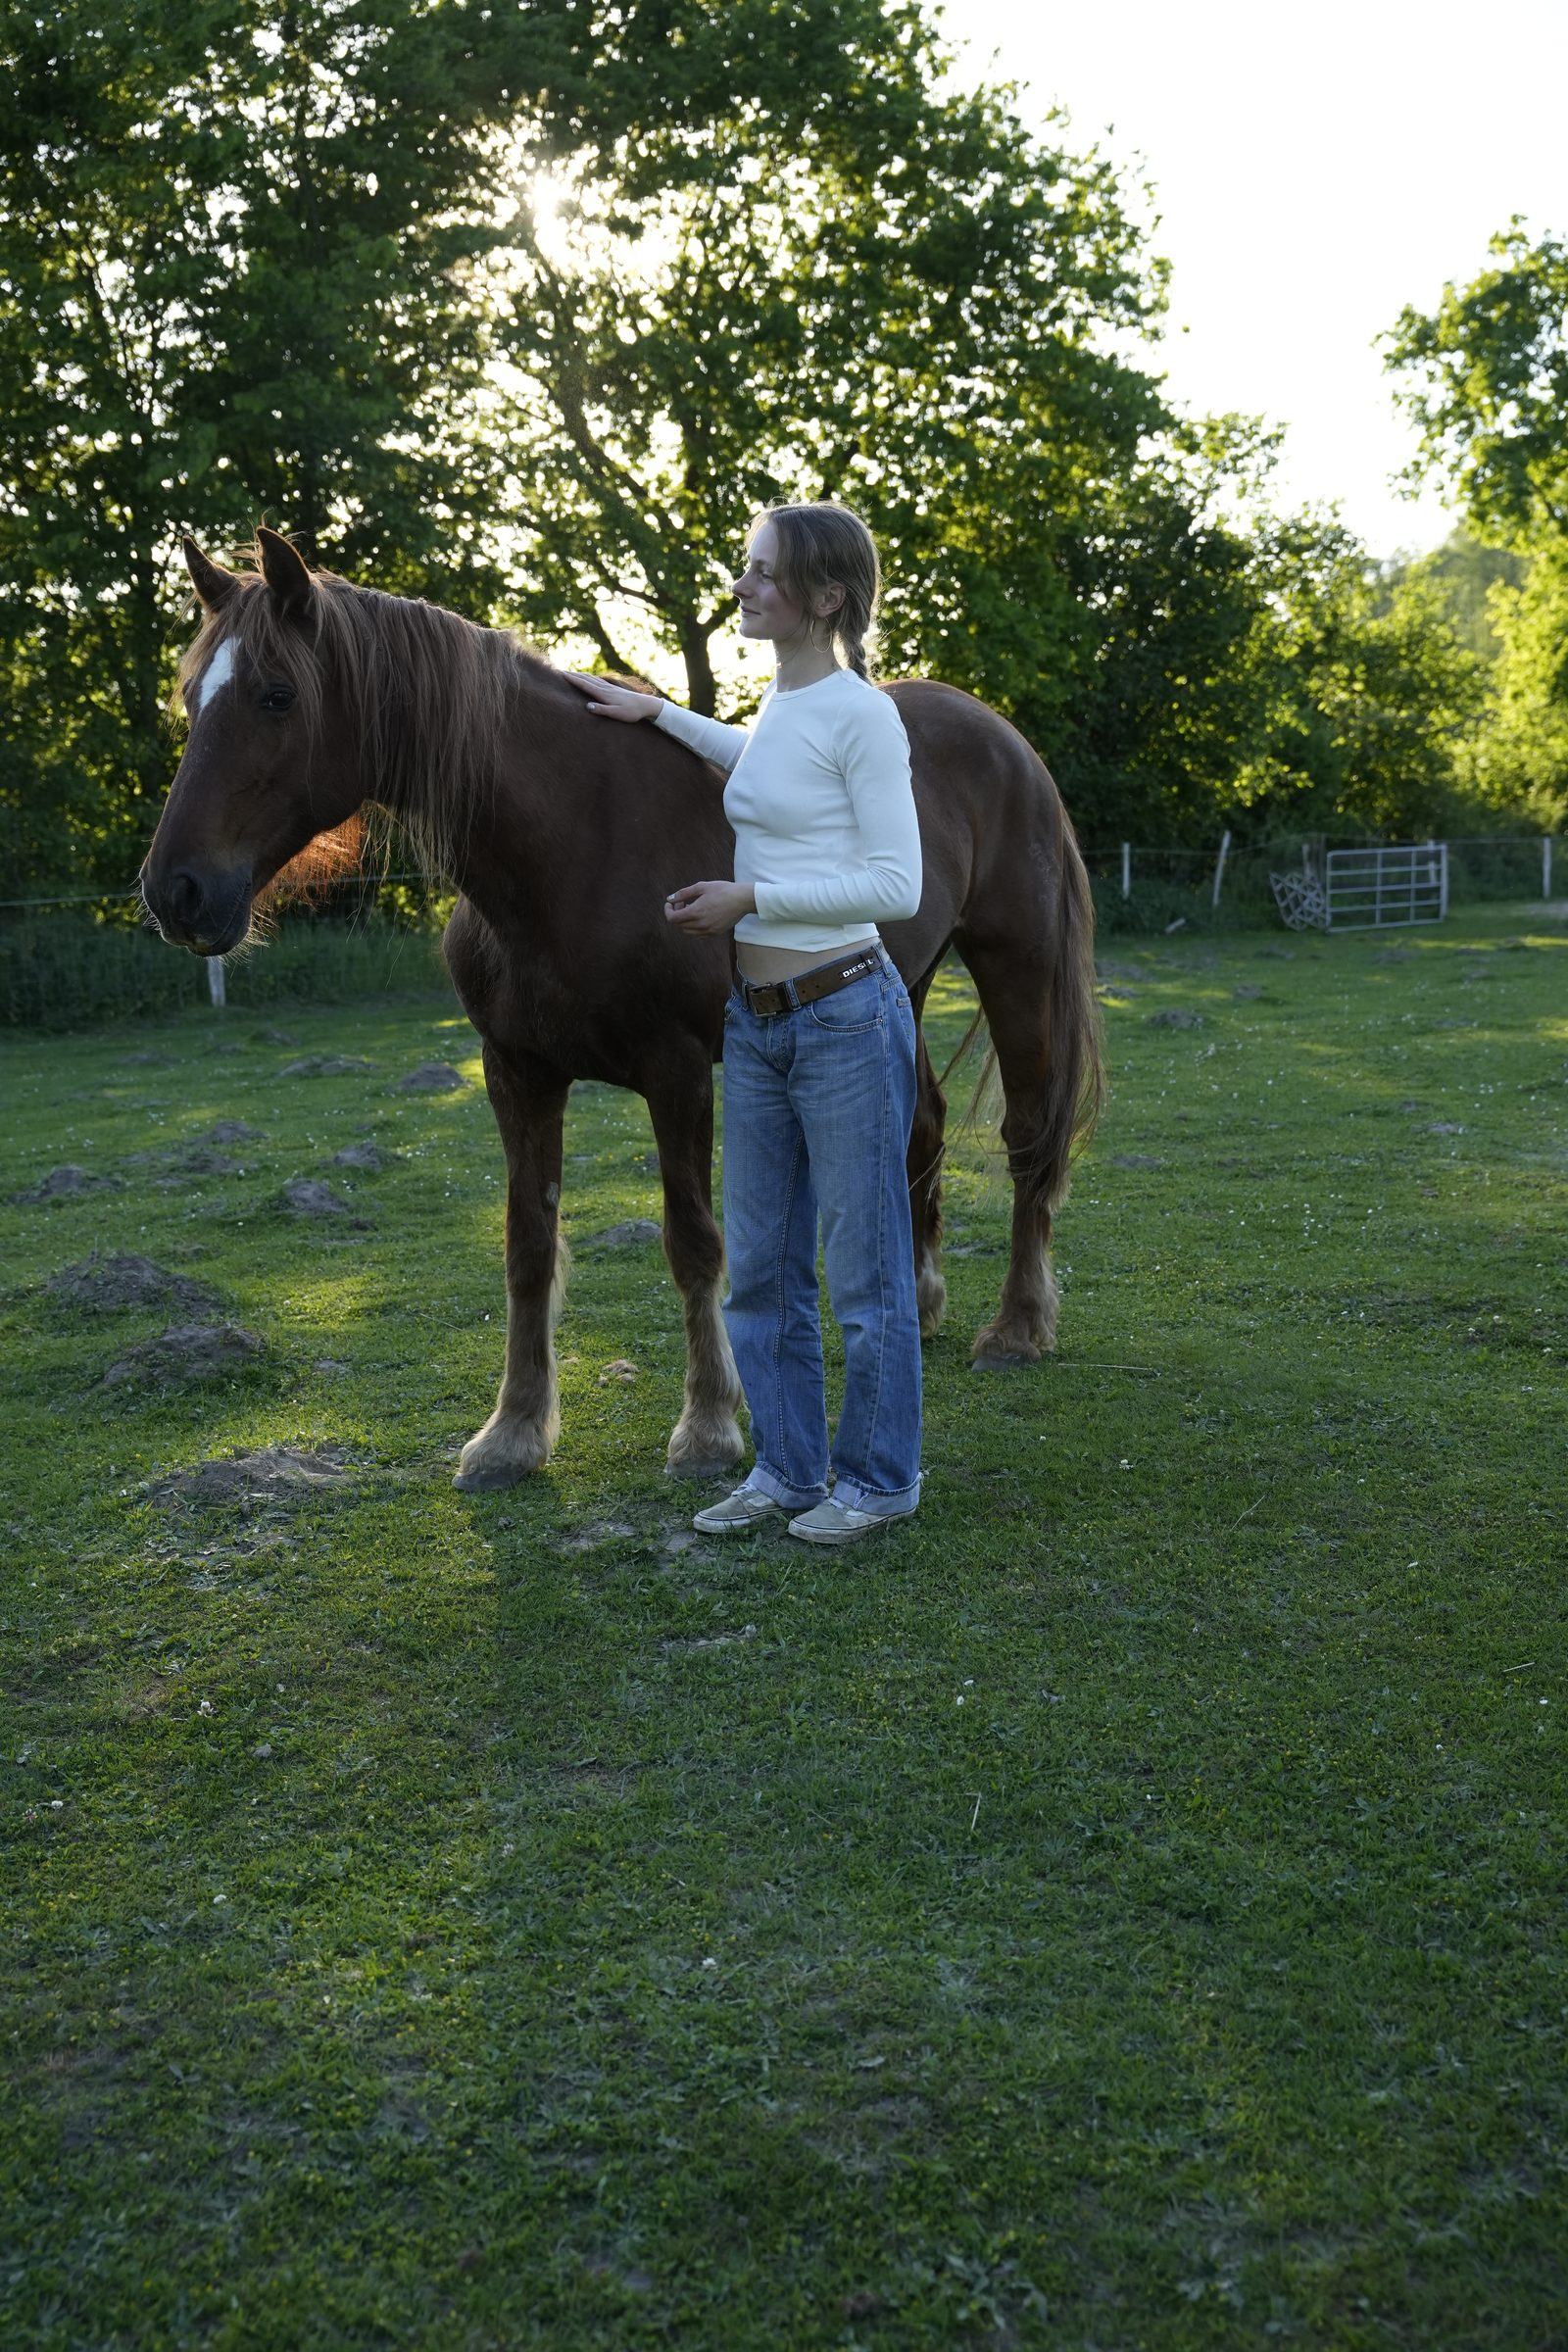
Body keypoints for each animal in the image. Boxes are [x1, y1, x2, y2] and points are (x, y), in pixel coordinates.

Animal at [141, 527, 1104, 1490]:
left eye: (276, 695)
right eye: (191, 697)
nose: (174, 891)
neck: (575, 843)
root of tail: (996, 732)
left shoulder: (677, 1073)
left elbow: (693, 1243)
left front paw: (709, 1425)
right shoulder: (517, 1074)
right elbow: (529, 1245)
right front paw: (513, 1432)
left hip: (1014, 967)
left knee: (1027, 1140)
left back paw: (1016, 1328)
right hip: (900, 980)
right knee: (921, 1128)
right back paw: (923, 1299)